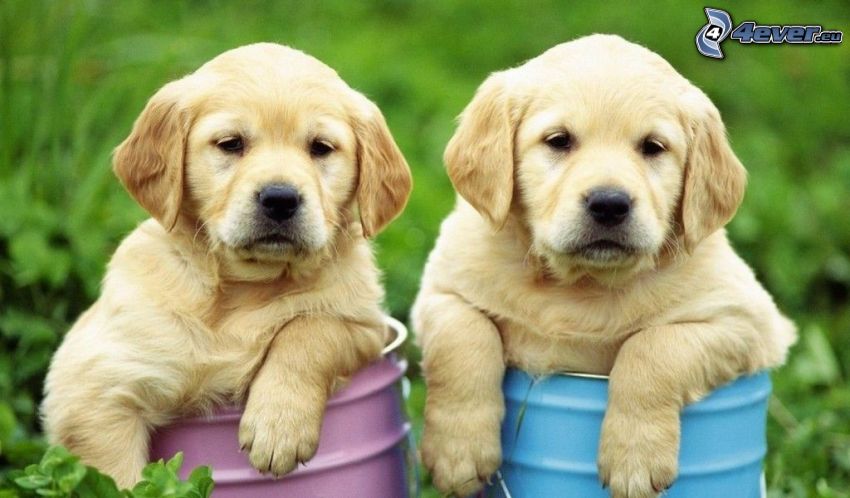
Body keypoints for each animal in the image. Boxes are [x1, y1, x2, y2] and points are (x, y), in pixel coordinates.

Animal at [43, 42, 410, 486]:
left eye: (321, 147)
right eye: (231, 143)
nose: (280, 198)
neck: (242, 286)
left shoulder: (365, 322)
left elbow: (311, 329)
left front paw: (279, 426)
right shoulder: (94, 383)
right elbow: (117, 479)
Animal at [410, 33, 796, 496]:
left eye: (652, 147)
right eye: (559, 140)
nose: (609, 204)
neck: (578, 283)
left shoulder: (746, 320)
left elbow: (652, 345)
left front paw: (634, 459)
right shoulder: (440, 290)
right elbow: (464, 335)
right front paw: (458, 452)